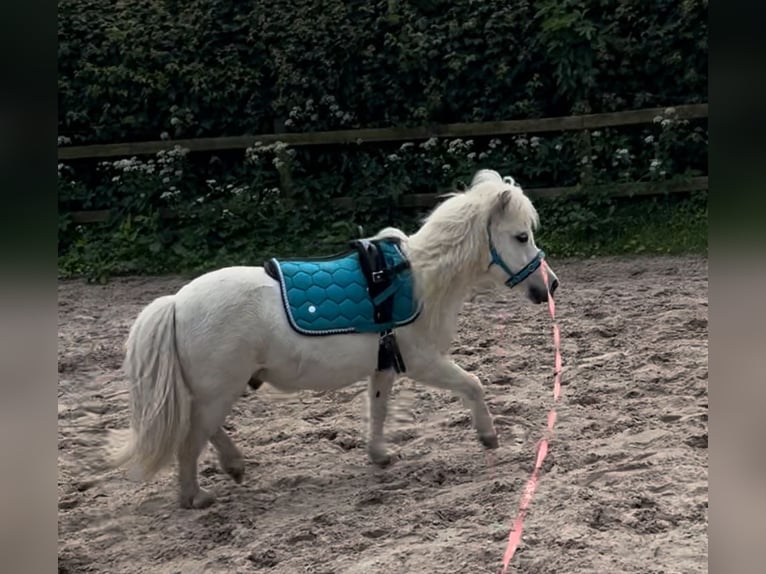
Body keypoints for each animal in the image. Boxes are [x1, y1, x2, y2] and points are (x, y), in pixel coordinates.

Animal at [112, 170, 560, 508]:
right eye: (521, 236)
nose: (550, 285)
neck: (418, 281)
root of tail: (175, 302)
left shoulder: (386, 365)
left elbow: (378, 410)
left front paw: (379, 455)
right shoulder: (424, 362)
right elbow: (474, 384)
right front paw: (488, 436)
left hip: (217, 390)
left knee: (205, 430)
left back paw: (233, 466)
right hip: (218, 390)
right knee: (191, 441)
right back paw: (196, 497)